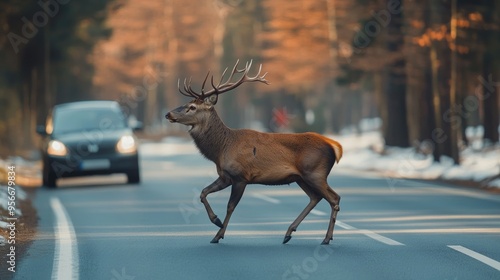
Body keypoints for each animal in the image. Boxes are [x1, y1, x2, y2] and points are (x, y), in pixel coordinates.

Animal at [166, 60, 342, 244]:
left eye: (192, 107)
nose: (168, 114)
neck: (221, 149)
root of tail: (334, 147)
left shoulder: (241, 176)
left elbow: (230, 206)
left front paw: (219, 232)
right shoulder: (225, 176)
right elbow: (203, 193)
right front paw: (216, 221)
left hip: (315, 173)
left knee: (334, 198)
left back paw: (326, 238)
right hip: (301, 177)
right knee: (315, 197)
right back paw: (289, 232)